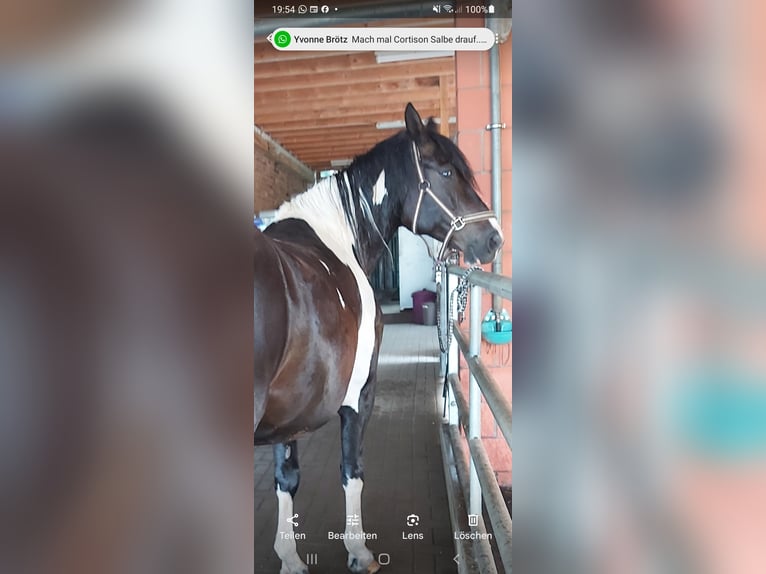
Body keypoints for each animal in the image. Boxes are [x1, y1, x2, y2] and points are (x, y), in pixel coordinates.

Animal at [254, 103, 504, 574]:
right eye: (446, 172)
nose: (494, 239)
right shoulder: (360, 392)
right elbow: (352, 470)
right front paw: (359, 551)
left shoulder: (287, 412)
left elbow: (286, 479)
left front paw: (290, 558)